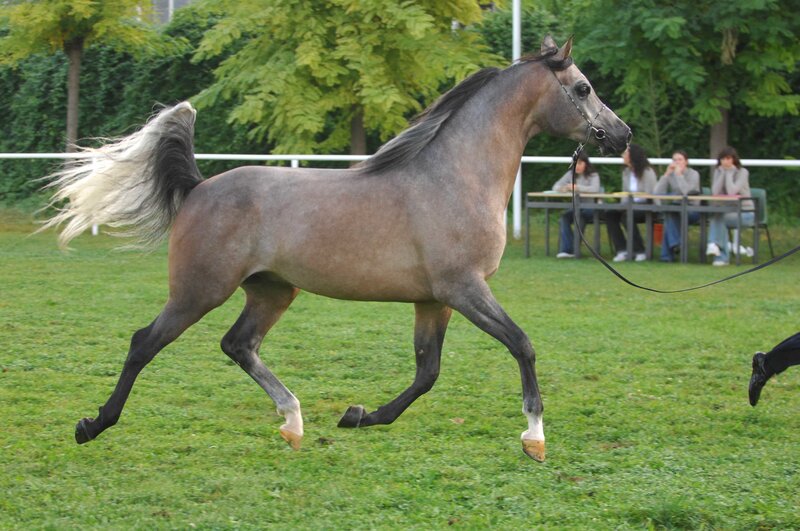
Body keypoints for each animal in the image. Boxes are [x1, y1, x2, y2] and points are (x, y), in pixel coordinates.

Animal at [42, 36, 630, 461]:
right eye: (582, 88)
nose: (622, 135)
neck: (454, 177)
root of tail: (199, 187)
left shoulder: (433, 300)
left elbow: (427, 373)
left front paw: (359, 416)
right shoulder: (464, 289)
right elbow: (522, 345)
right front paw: (535, 437)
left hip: (271, 291)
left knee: (238, 345)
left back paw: (293, 422)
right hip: (198, 290)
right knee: (145, 343)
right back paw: (92, 425)